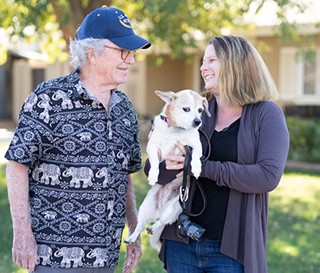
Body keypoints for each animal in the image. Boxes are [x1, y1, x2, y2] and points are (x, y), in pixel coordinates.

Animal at [123, 89, 210, 251]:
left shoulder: (196, 146)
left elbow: (195, 156)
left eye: (200, 110)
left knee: (162, 221)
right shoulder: (153, 147)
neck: (176, 130)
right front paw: (153, 175)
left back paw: (153, 227)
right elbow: (155, 163)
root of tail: (160, 209)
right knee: (140, 225)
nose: (198, 122)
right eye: (186, 109)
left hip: (174, 208)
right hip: (145, 206)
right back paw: (132, 237)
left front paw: (196, 168)